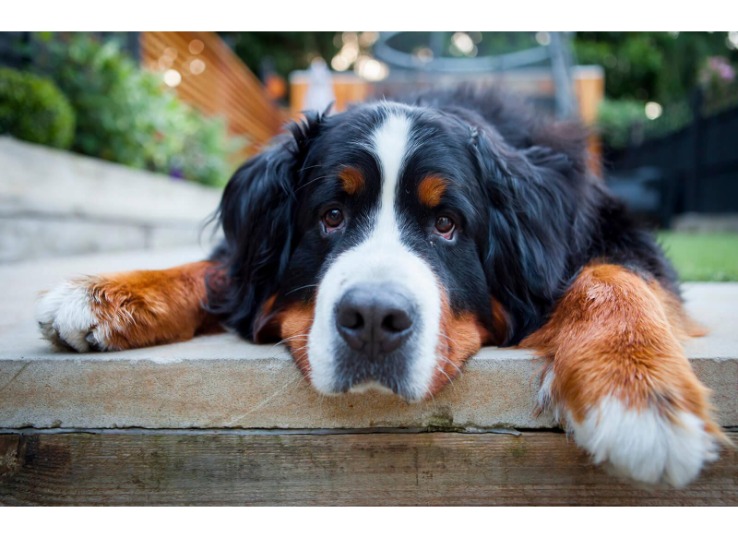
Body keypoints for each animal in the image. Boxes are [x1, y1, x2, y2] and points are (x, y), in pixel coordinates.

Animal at [36, 85, 724, 486]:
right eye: (331, 216)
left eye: (447, 225)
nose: (372, 319)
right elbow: (218, 270)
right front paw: (106, 295)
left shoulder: (613, 234)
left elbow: (613, 276)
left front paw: (637, 394)